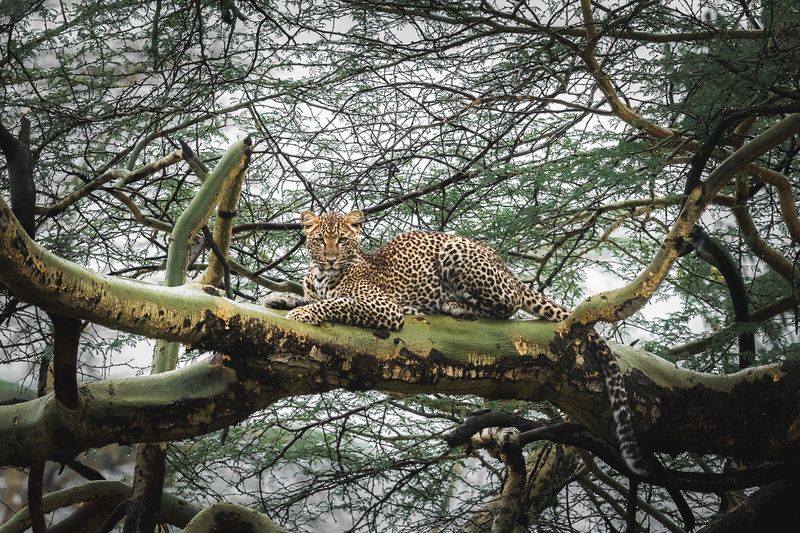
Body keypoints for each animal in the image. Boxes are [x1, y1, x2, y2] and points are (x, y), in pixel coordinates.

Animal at [263, 209, 647, 475]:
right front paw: (280, 298)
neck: (323, 275)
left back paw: (452, 305)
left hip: (459, 253)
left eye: (342, 241)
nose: (329, 257)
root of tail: (507, 269)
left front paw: (303, 312)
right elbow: (308, 296)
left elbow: (334, 303)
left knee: (505, 306)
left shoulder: (382, 307)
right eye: (319, 240)